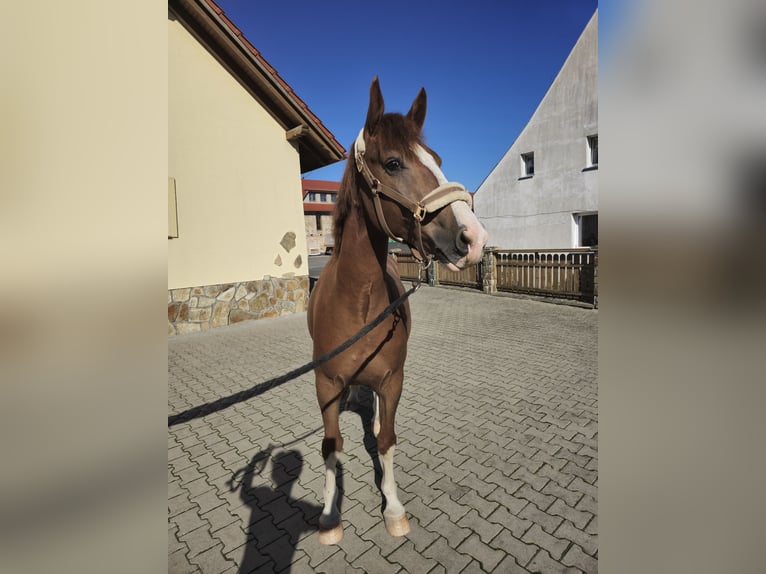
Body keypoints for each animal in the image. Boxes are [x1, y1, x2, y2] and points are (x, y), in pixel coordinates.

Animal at [307, 77, 488, 544]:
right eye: (392, 163)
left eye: (437, 160)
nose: (474, 237)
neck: (358, 302)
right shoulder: (325, 384)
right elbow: (330, 445)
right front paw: (329, 515)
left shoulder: (392, 380)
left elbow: (387, 440)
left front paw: (393, 508)